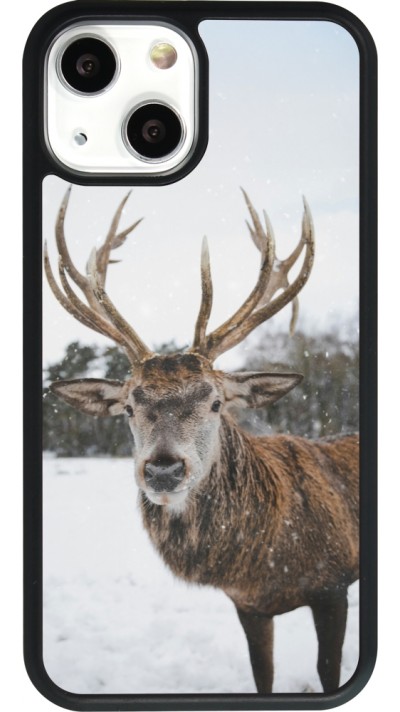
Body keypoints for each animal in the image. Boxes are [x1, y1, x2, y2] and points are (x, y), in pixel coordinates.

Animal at [44, 187, 359, 694]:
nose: (163, 469)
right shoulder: (248, 605)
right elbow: (262, 676)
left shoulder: (333, 584)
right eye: (128, 407)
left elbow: (329, 672)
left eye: (215, 402)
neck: (266, 563)